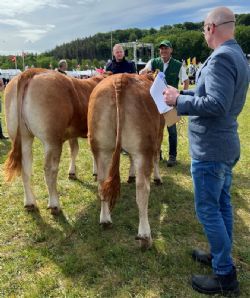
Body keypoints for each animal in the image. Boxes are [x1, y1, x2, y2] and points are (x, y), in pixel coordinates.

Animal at [4, 68, 104, 214]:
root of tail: (31, 72)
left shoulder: (74, 133)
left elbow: (75, 150)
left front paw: (74, 172)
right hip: (52, 140)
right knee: (49, 170)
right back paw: (54, 204)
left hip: (23, 137)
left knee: (25, 168)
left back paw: (30, 203)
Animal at [88, 73, 166, 248]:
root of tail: (120, 79)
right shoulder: (158, 136)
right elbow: (156, 157)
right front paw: (158, 178)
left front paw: (130, 175)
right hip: (143, 148)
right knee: (142, 190)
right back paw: (145, 236)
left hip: (100, 147)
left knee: (102, 183)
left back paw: (105, 220)